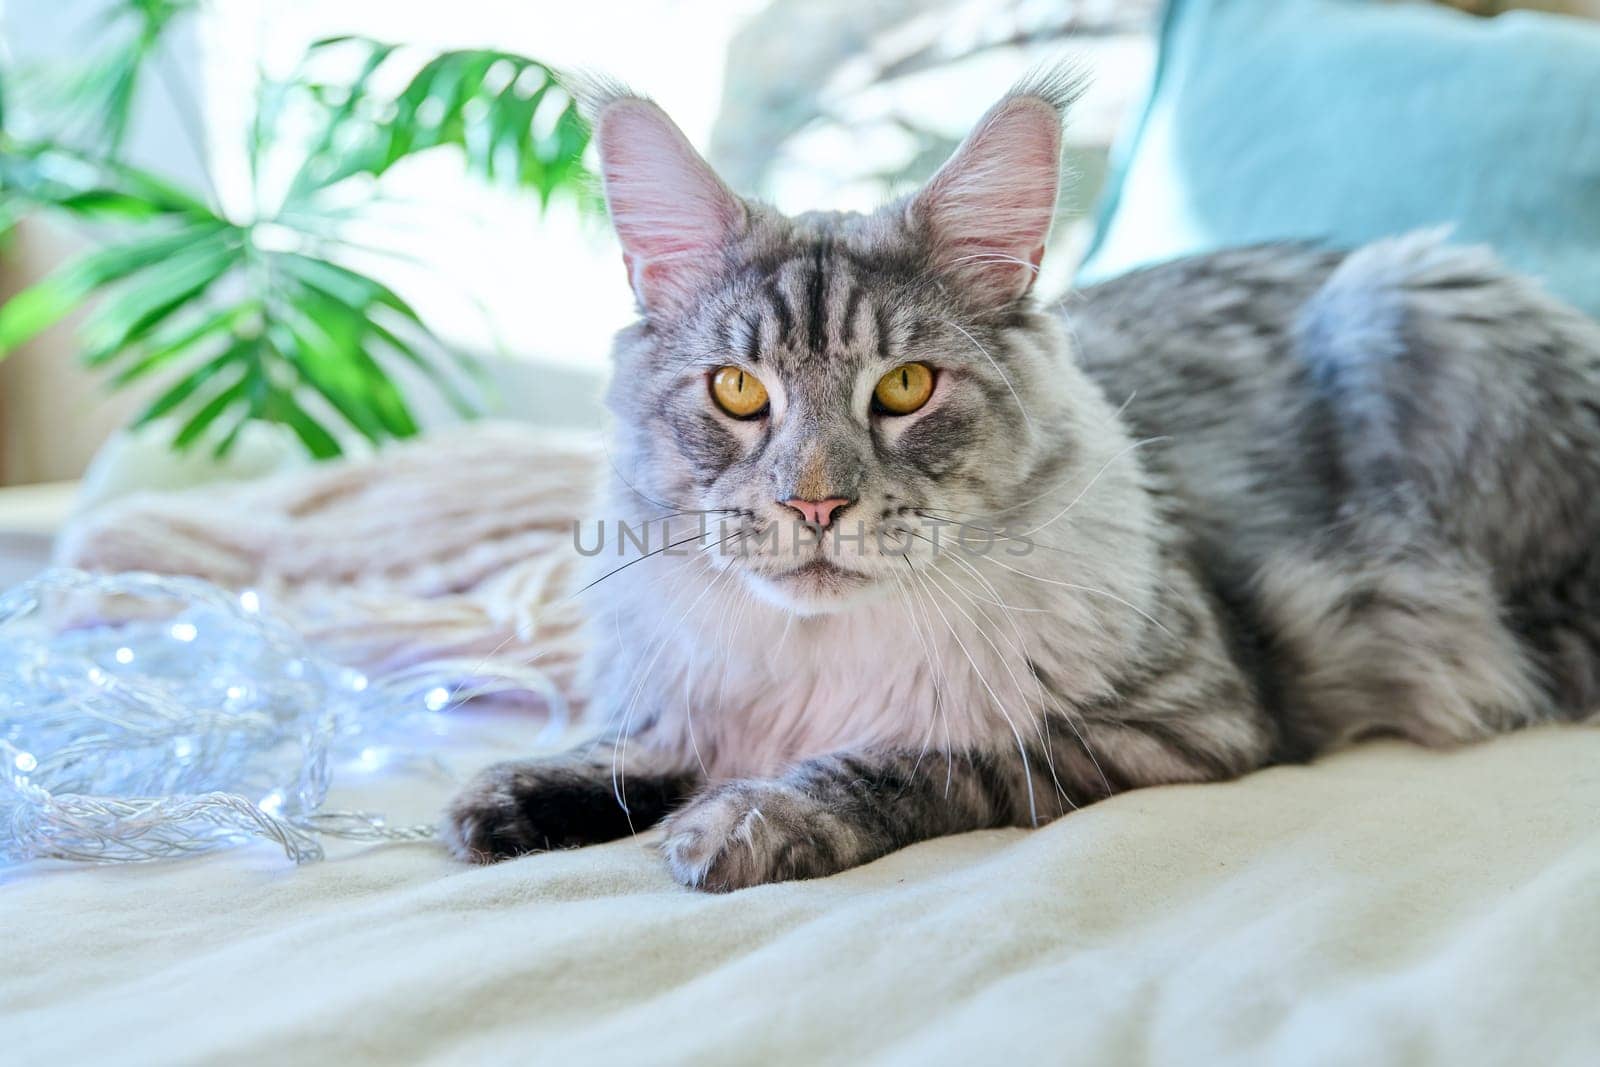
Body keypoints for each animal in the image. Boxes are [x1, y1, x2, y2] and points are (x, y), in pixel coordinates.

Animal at [444, 70, 1600, 895]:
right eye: (736, 391)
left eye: (904, 386)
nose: (814, 503)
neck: (820, 659)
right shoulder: (689, 699)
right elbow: (642, 749)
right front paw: (512, 798)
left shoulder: (1177, 722)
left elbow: (906, 760)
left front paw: (749, 817)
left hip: (1407, 307)